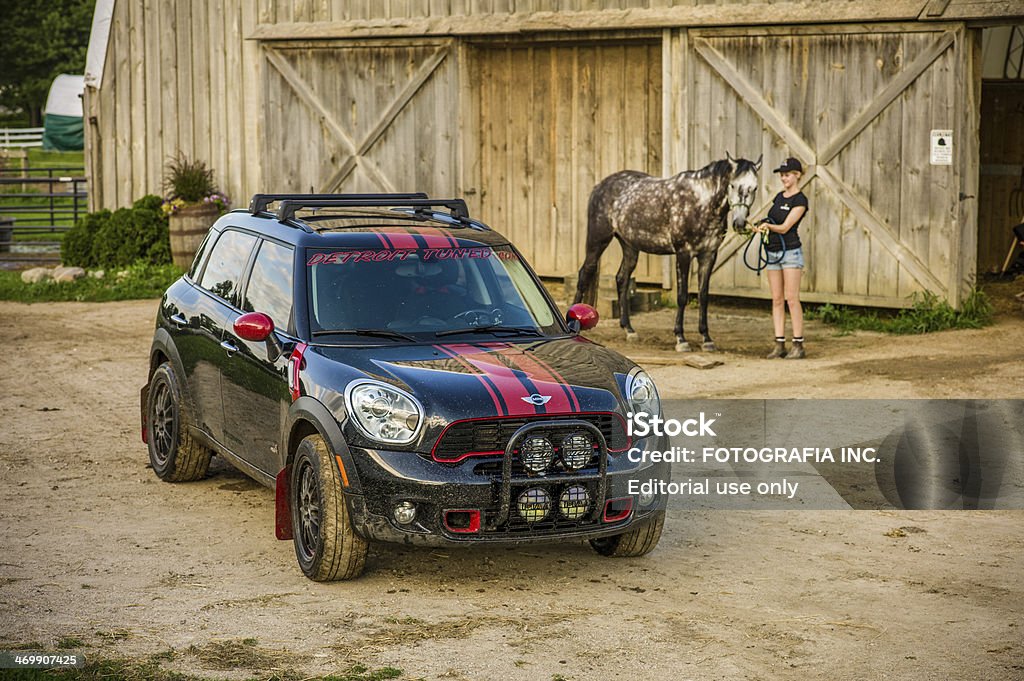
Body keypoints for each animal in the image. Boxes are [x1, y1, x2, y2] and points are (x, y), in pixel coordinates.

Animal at [577, 154, 761, 352]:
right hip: (598, 240)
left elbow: (703, 296)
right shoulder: (683, 254)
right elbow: (682, 296)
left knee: (622, 279)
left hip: (629, 246)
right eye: (733, 185)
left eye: (754, 187)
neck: (700, 203)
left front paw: (706, 339)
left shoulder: (709, 255)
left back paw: (629, 330)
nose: (740, 223)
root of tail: (600, 186)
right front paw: (681, 339)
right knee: (584, 274)